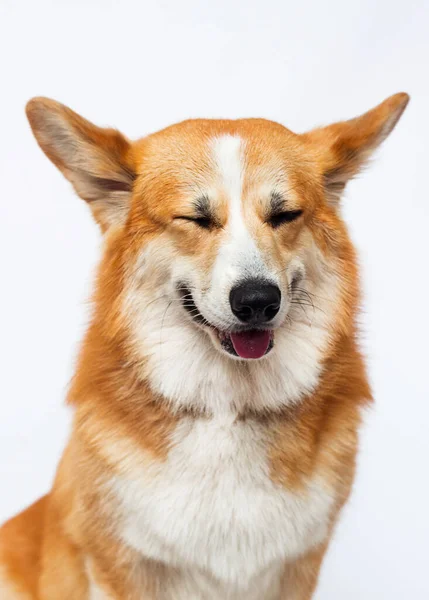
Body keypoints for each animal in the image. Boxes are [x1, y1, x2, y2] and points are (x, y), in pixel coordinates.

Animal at [0, 92, 408, 596]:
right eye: (196, 219)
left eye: (284, 215)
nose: (257, 301)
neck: (227, 408)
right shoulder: (122, 566)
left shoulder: (299, 566)